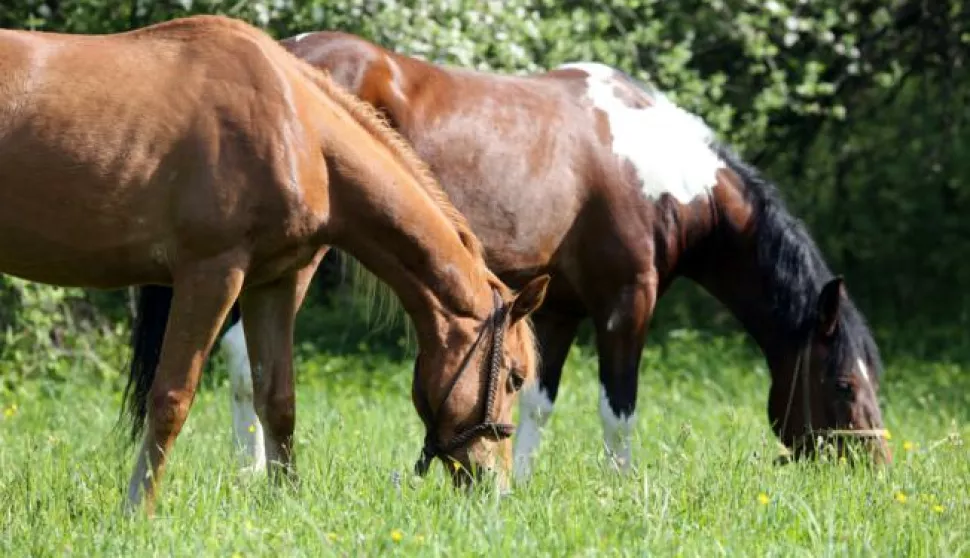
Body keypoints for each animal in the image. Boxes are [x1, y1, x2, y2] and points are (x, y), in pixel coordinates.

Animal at [0, 16, 544, 516]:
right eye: (515, 377)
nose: (498, 490)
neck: (297, 128)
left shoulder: (274, 283)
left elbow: (278, 400)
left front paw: (286, 500)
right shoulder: (210, 275)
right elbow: (171, 398)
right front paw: (138, 510)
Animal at [140, 28, 888, 480]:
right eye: (844, 387)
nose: (875, 469)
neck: (657, 170)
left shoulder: (556, 310)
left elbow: (535, 402)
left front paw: (522, 484)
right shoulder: (627, 305)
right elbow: (618, 411)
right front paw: (621, 490)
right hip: (291, 266)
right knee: (245, 363)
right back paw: (251, 475)